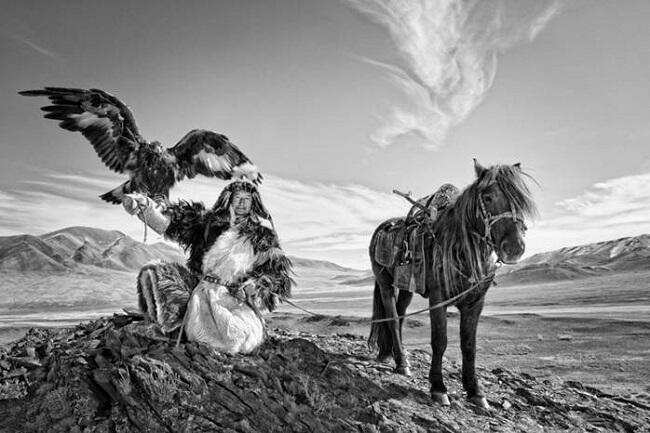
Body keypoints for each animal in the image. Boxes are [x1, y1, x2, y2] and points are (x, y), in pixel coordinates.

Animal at [368, 160, 536, 406]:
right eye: (487, 197)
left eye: (521, 200)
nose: (515, 247)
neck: (459, 247)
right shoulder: (438, 299)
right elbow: (440, 341)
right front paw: (438, 388)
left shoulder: (475, 303)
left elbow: (469, 345)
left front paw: (476, 391)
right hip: (384, 282)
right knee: (392, 316)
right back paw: (402, 363)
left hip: (407, 287)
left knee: (400, 313)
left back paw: (396, 356)